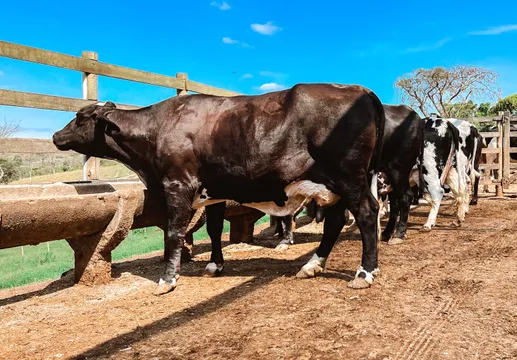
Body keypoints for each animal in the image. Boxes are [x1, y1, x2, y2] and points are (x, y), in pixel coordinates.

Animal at [53, 83, 382, 294]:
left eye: (80, 117)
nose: (56, 135)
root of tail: (359, 89)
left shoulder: (178, 185)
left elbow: (174, 233)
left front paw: (167, 280)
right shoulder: (215, 191)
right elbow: (212, 229)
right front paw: (215, 265)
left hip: (349, 178)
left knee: (367, 214)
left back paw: (365, 272)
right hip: (335, 186)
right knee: (336, 222)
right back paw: (313, 264)